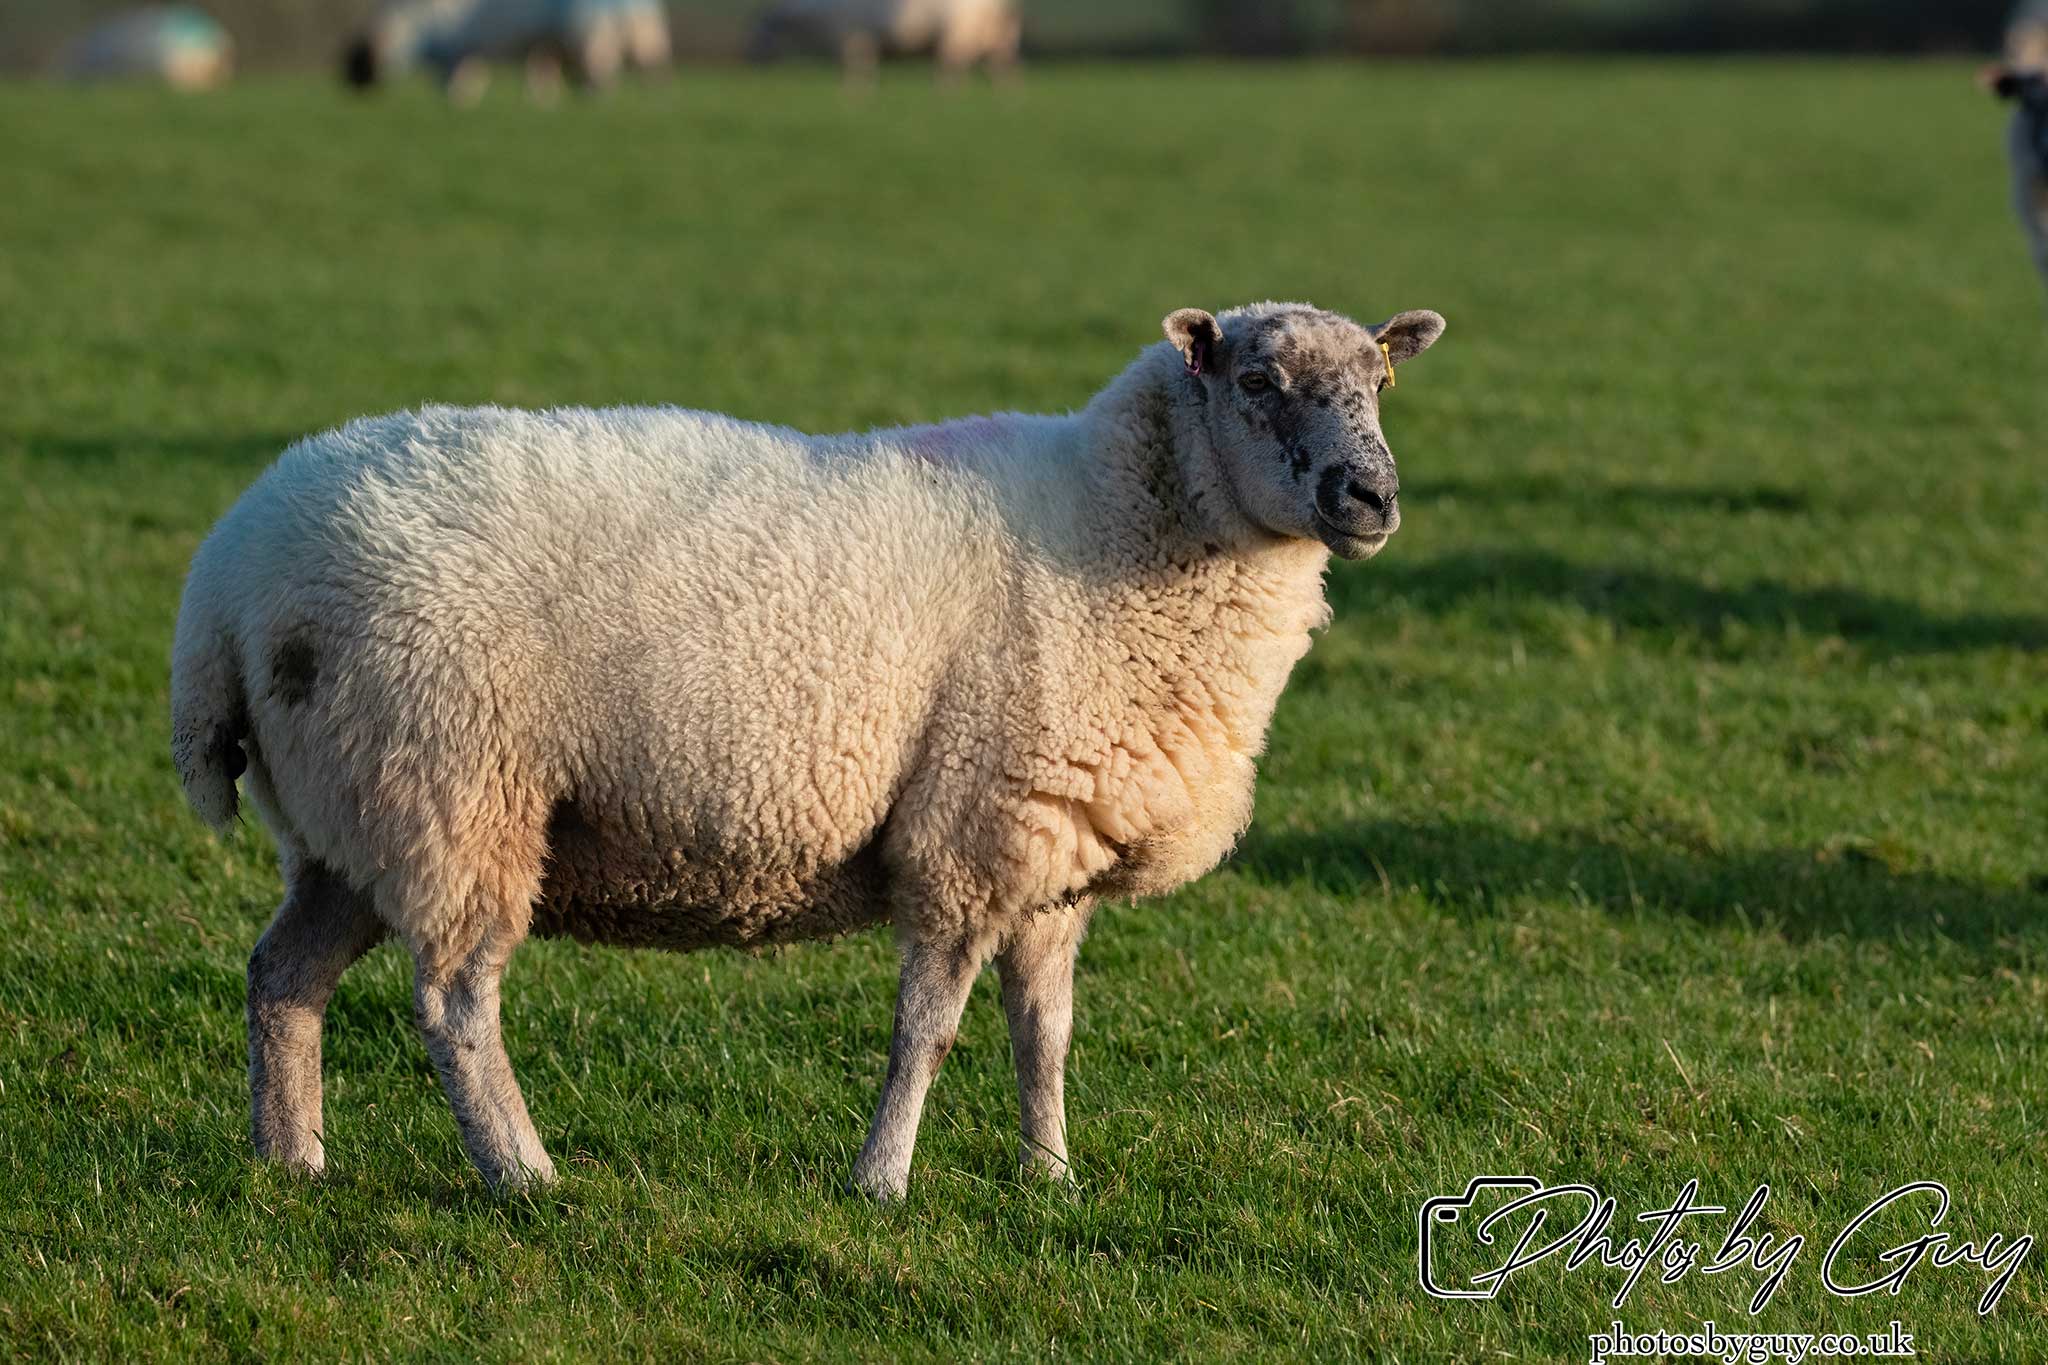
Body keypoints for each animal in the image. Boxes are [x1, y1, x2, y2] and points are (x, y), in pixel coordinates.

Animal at [170, 300, 1446, 1198]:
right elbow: (927, 1030)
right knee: (453, 1003)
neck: (1122, 528)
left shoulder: (1051, 853)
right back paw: (523, 1174)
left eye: (1382, 383)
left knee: (282, 978)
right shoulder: (969, 833)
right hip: (451, 787)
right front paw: (881, 1182)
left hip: (349, 811)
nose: (1368, 497)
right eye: (1257, 382)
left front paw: (1049, 1175)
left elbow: (1044, 1033)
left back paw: (291, 1161)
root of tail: (224, 582)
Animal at [747, 0, 1021, 86]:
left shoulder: (854, 42)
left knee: (952, 69)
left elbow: (857, 73)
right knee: (1005, 69)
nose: (747, 57)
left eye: (760, 30)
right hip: (997, 40)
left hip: (957, 38)